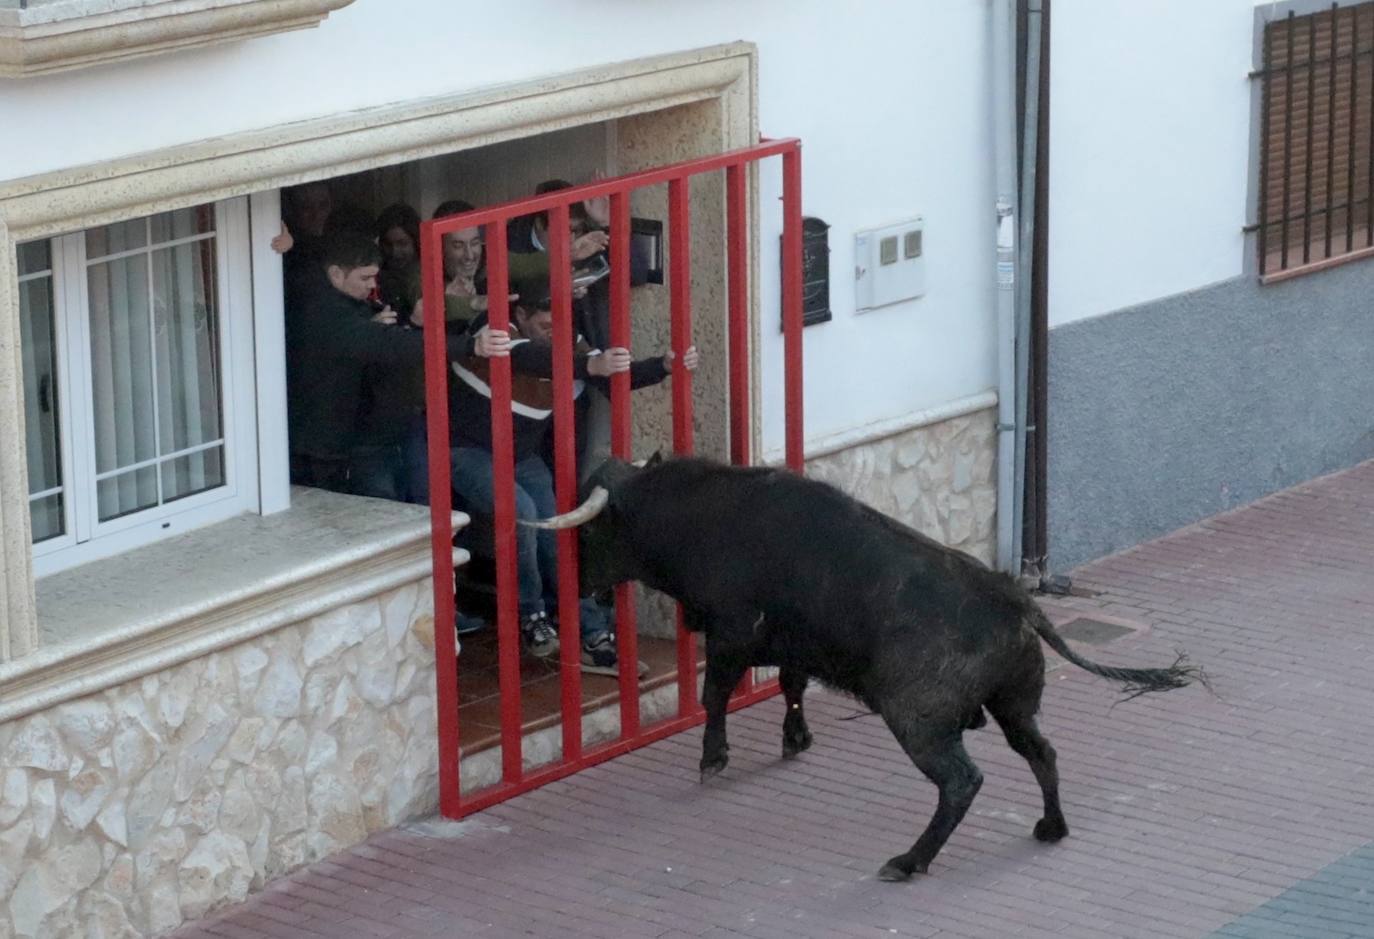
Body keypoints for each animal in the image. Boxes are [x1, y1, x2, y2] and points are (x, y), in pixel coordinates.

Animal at [527, 456, 1203, 879]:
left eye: (590, 535)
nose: (576, 587)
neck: (706, 513)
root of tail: (1012, 598)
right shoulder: (789, 643)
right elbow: (791, 686)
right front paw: (796, 738)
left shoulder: (729, 633)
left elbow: (714, 694)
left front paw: (712, 758)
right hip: (1014, 704)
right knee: (1042, 753)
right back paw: (1050, 827)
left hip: (918, 721)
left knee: (962, 782)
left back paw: (908, 861)